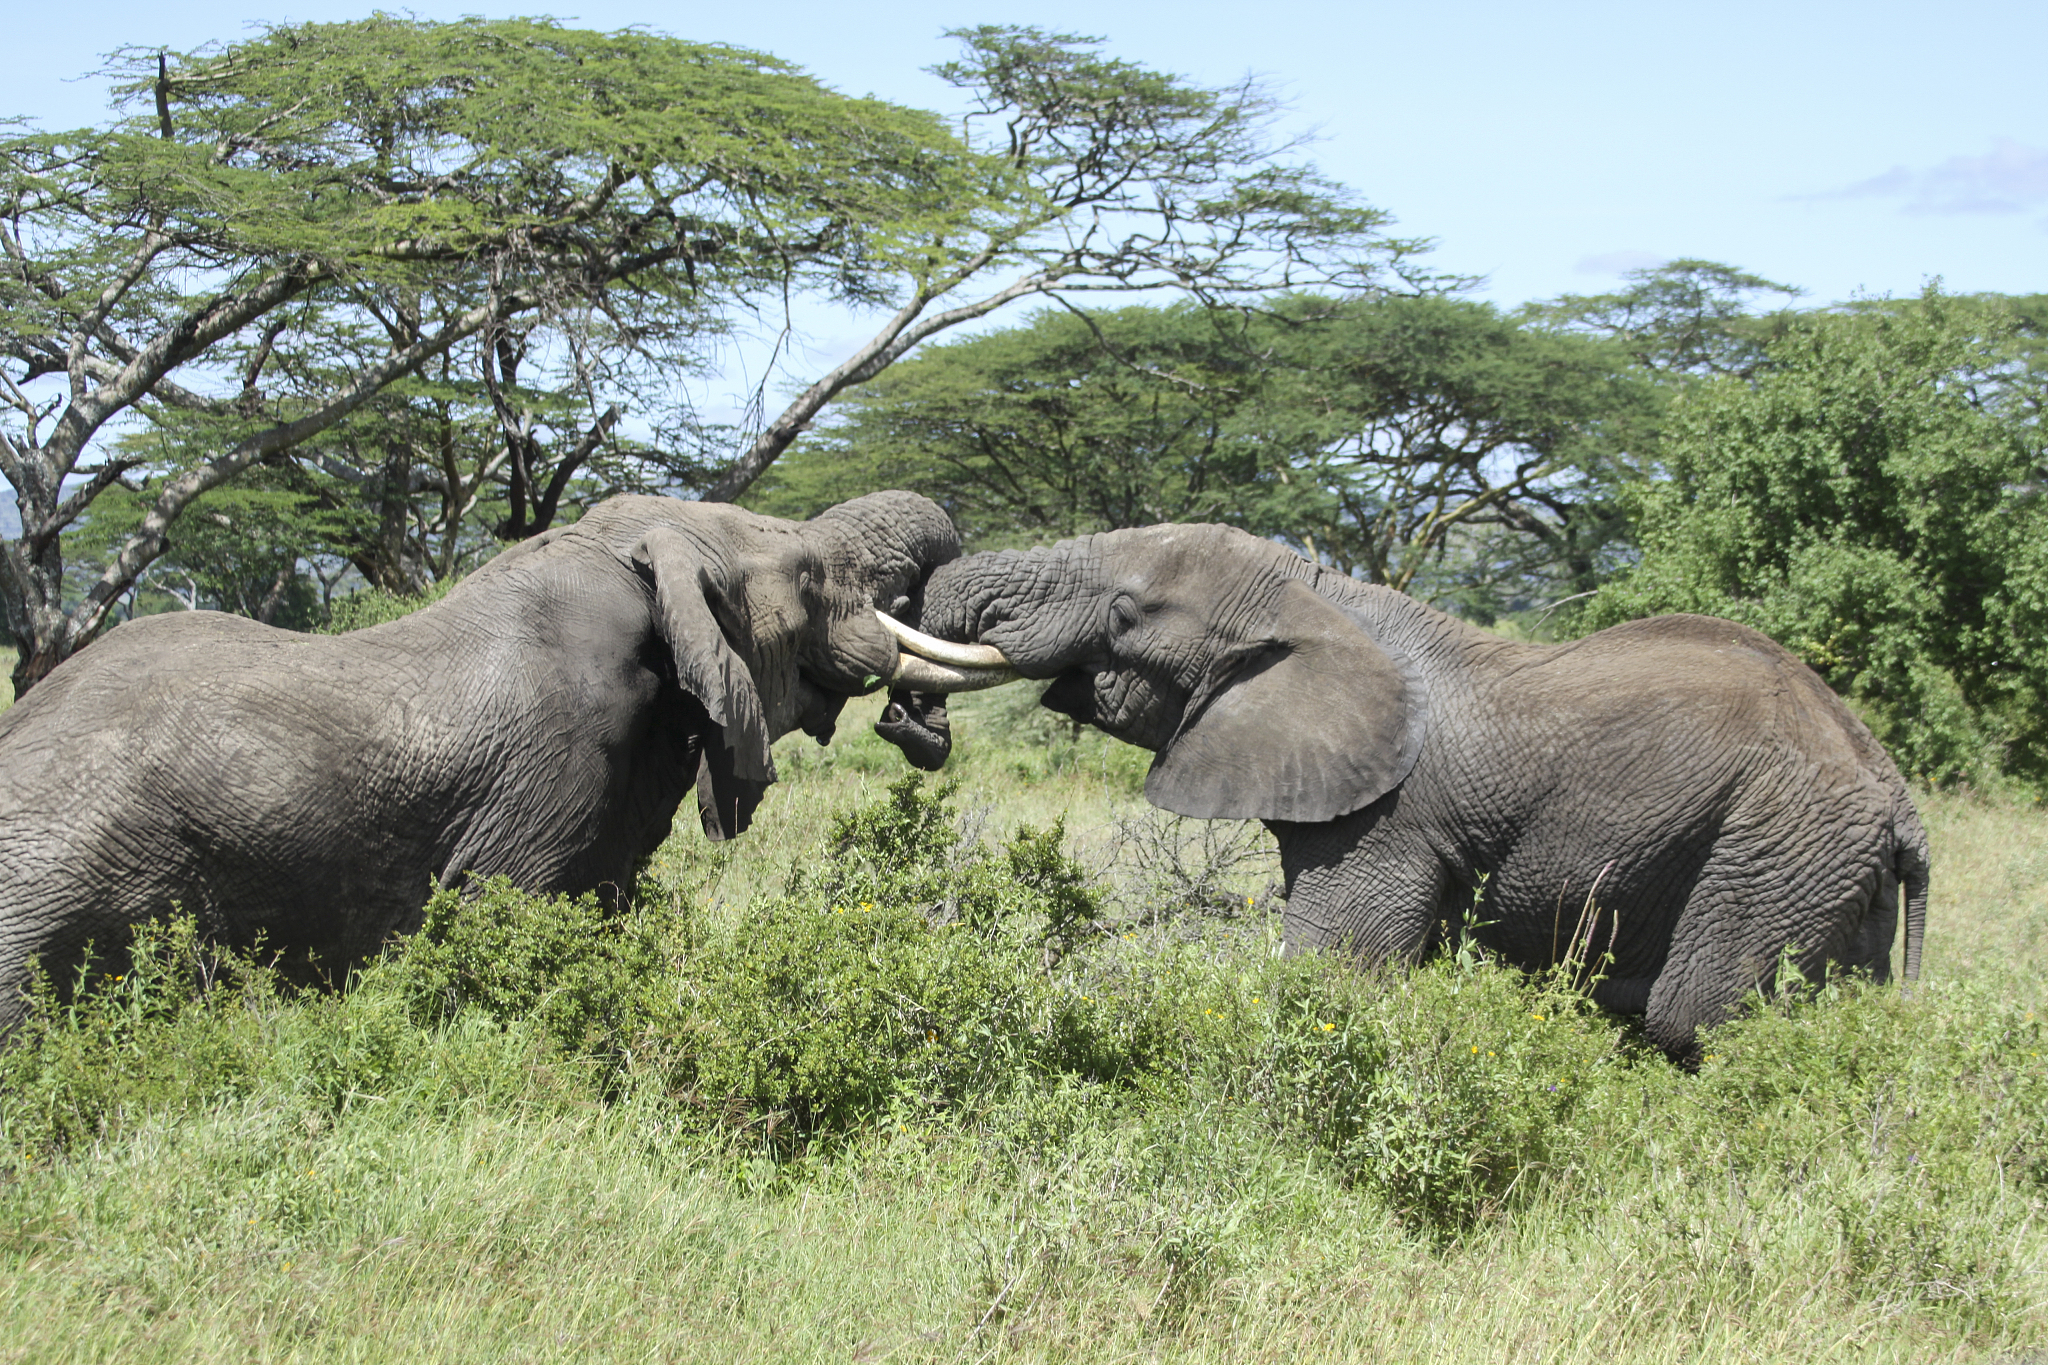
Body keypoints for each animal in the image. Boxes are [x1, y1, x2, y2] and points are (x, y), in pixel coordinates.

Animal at [903, 522, 1929, 1061]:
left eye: (1126, 613)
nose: (913, 723)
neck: (1319, 592)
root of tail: (1898, 796)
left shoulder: (1387, 818)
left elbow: (1334, 973)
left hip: (1775, 845)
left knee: (1695, 1013)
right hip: (1834, 873)